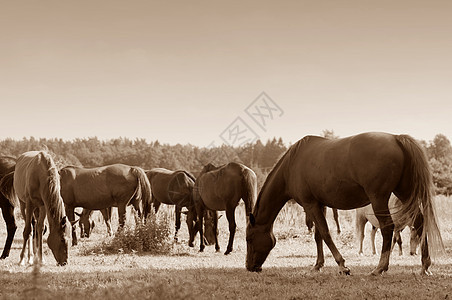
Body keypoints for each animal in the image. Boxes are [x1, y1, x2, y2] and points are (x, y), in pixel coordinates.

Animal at [245, 132, 444, 276]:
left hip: (379, 198)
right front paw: (318, 265)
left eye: (249, 238)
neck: (291, 166)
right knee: (420, 222)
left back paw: (380, 268)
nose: (249, 266)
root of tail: (396, 138)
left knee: (388, 228)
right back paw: (425, 266)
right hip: (405, 194)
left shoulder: (310, 204)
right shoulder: (319, 204)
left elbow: (325, 233)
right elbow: (318, 235)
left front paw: (342, 266)